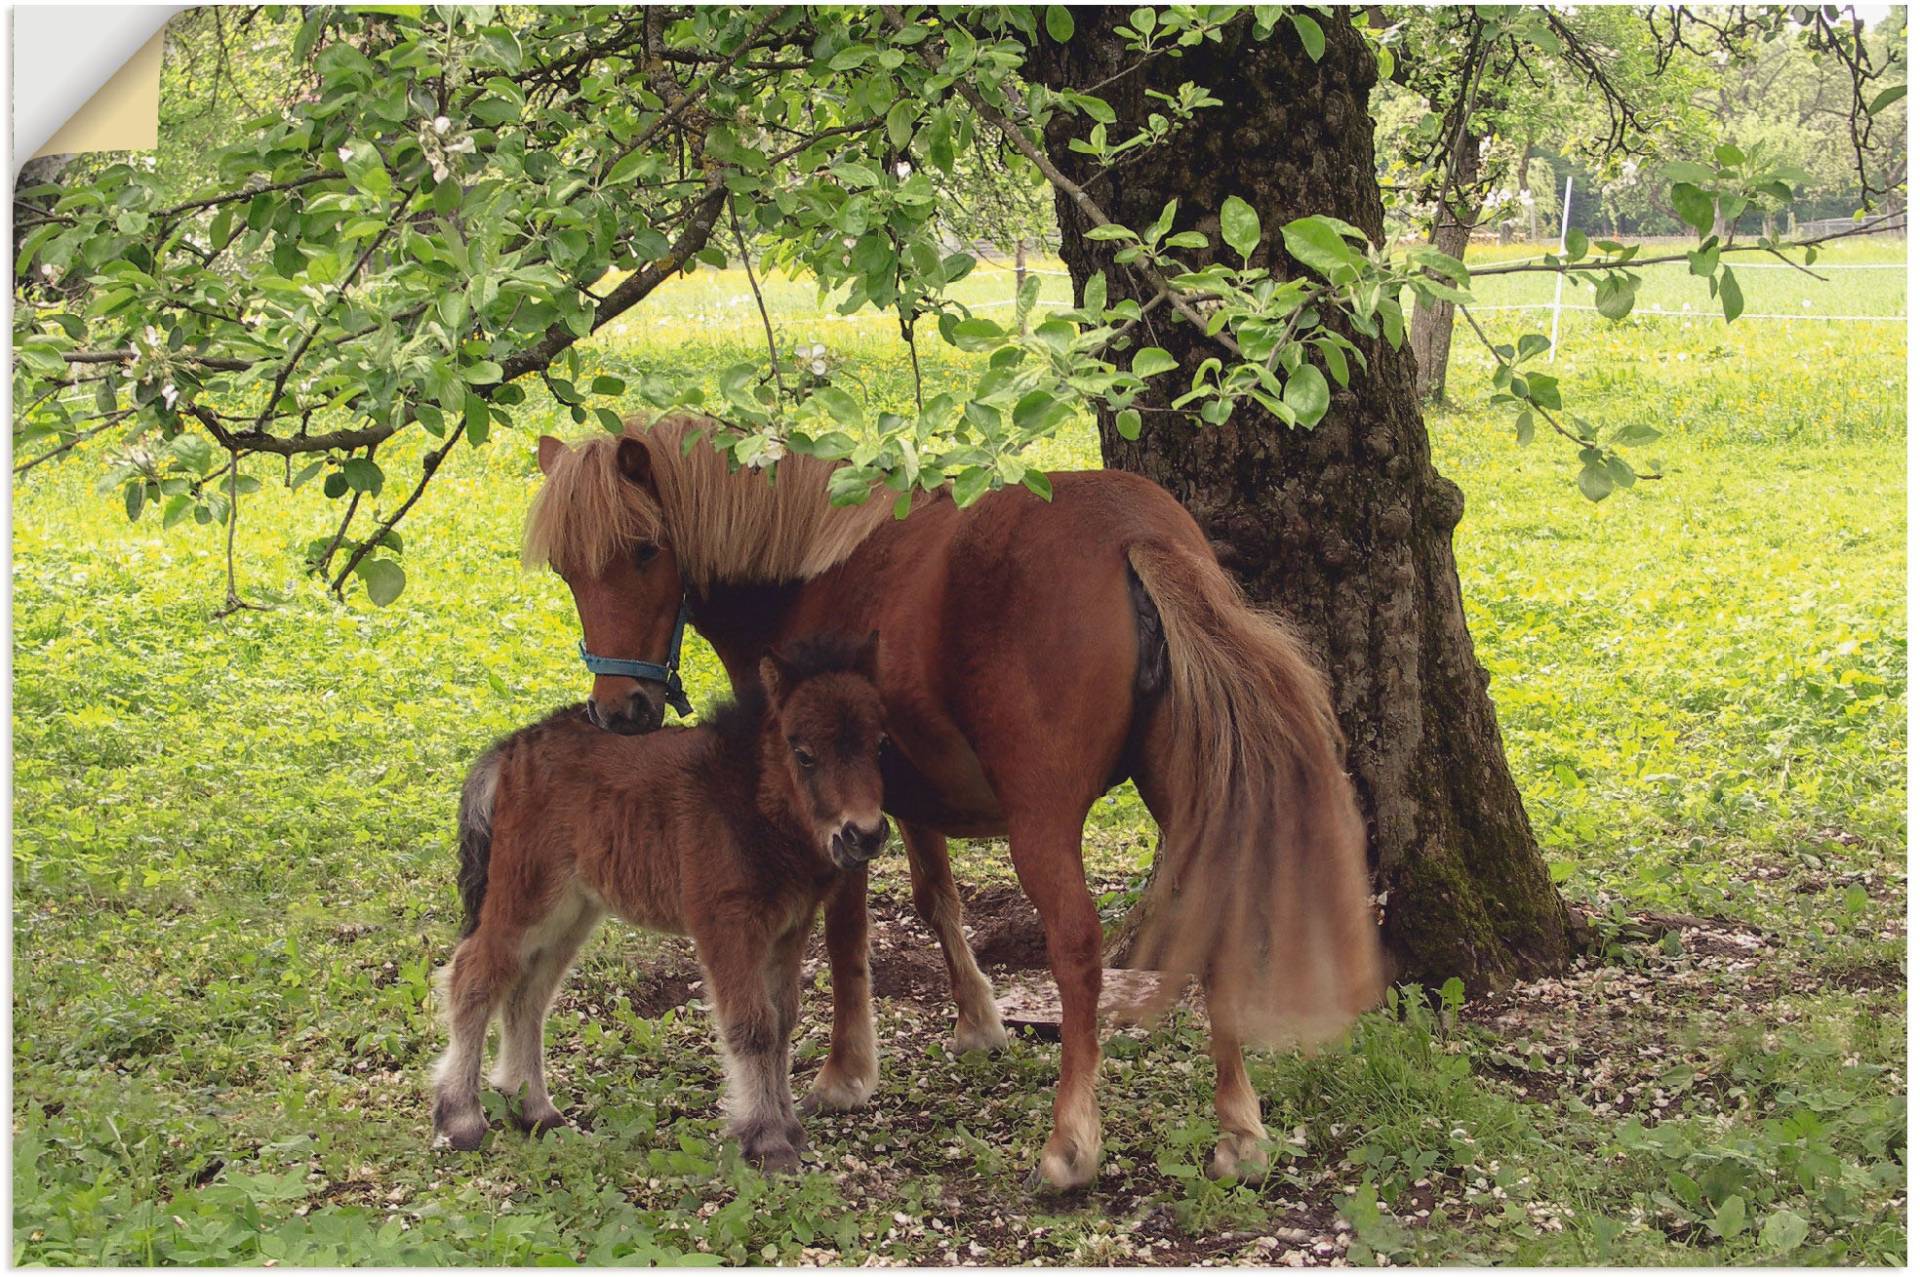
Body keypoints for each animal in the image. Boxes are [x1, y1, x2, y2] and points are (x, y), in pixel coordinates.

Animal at [428, 626, 890, 1167]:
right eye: (805, 754)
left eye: (879, 746)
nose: (864, 835)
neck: (749, 799)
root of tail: (511, 748)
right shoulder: (726, 925)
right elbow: (752, 1025)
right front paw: (766, 1140)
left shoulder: (789, 930)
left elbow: (781, 1025)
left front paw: (789, 1130)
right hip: (527, 897)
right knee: (474, 976)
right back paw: (461, 1118)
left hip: (573, 910)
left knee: (528, 993)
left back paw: (534, 1110)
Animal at [526, 416, 1390, 1182]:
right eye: (567, 569)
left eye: (645, 549)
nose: (619, 712)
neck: (808, 568)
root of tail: (1136, 535)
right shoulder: (904, 796)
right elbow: (935, 894)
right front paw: (979, 1018)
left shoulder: (834, 809)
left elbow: (847, 934)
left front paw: (846, 1069)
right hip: (1187, 797)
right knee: (1213, 922)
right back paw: (1240, 1131)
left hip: (1043, 824)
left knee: (1076, 948)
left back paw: (1070, 1143)